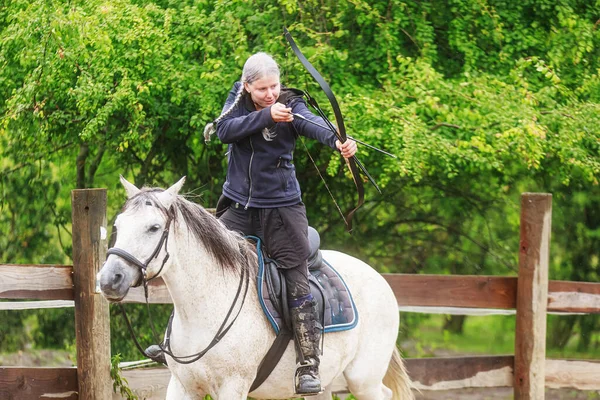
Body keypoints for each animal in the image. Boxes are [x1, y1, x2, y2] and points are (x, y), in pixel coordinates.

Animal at [98, 178, 414, 400]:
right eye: (118, 224)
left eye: (153, 227)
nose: (109, 280)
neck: (205, 308)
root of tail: (378, 278)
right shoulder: (181, 387)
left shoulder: (232, 387)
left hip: (364, 379)